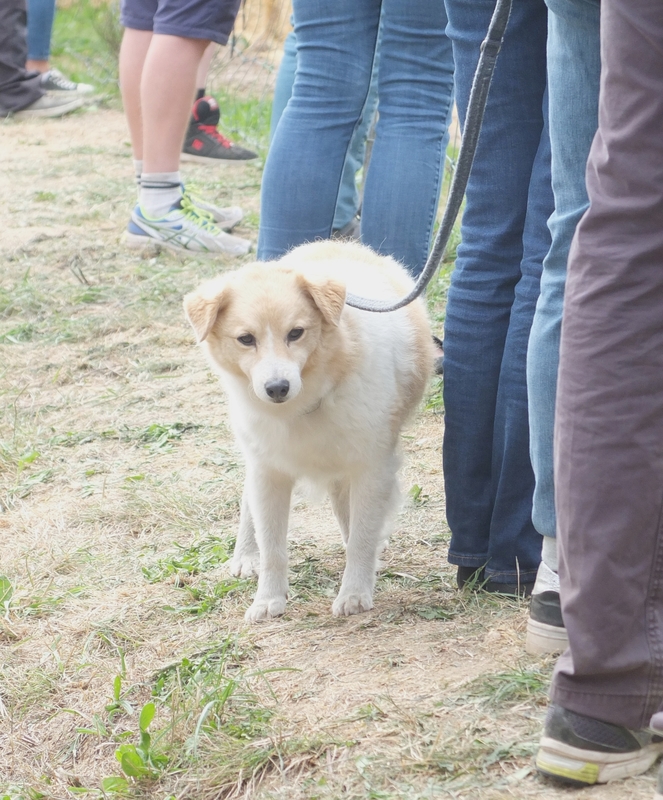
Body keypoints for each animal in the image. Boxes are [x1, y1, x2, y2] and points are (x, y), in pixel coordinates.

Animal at [185, 241, 436, 620]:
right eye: (246, 339)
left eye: (296, 333)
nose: (277, 388)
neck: (306, 401)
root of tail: (331, 243)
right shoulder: (268, 471)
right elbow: (272, 545)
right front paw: (268, 600)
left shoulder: (372, 466)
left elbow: (361, 536)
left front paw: (355, 592)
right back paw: (246, 555)